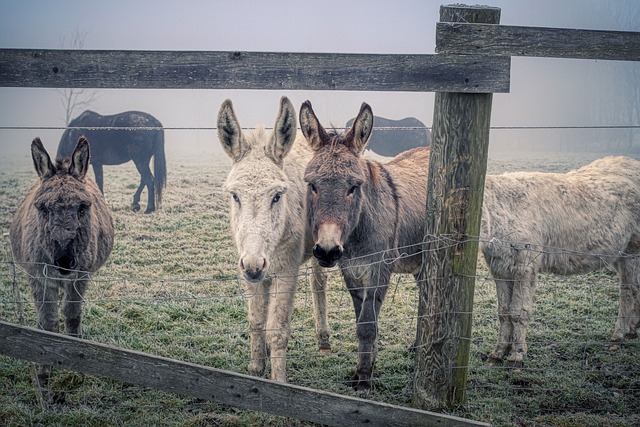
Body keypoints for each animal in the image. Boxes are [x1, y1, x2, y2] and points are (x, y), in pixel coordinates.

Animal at [9, 136, 114, 392]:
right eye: (43, 208)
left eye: (83, 207)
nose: (64, 261)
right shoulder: (39, 277)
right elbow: (47, 320)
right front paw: (43, 370)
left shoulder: (80, 276)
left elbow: (72, 315)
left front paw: (74, 364)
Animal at [219, 98, 330, 384]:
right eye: (235, 196)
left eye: (277, 196)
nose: (254, 265)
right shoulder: (248, 270)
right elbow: (257, 321)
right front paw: (256, 368)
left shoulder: (286, 271)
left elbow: (277, 329)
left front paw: (279, 380)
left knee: (318, 282)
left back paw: (323, 340)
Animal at [300, 99, 430, 392]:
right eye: (312, 185)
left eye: (353, 187)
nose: (327, 251)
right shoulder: (351, 271)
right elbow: (361, 321)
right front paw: (365, 367)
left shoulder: (379, 270)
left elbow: (368, 324)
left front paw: (364, 379)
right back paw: (419, 347)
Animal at [480, 156, 640, 368]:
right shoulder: (500, 268)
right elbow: (503, 312)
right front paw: (497, 353)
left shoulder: (525, 265)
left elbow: (518, 312)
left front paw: (517, 356)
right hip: (619, 253)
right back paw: (631, 331)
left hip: (632, 249)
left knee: (628, 291)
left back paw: (618, 336)